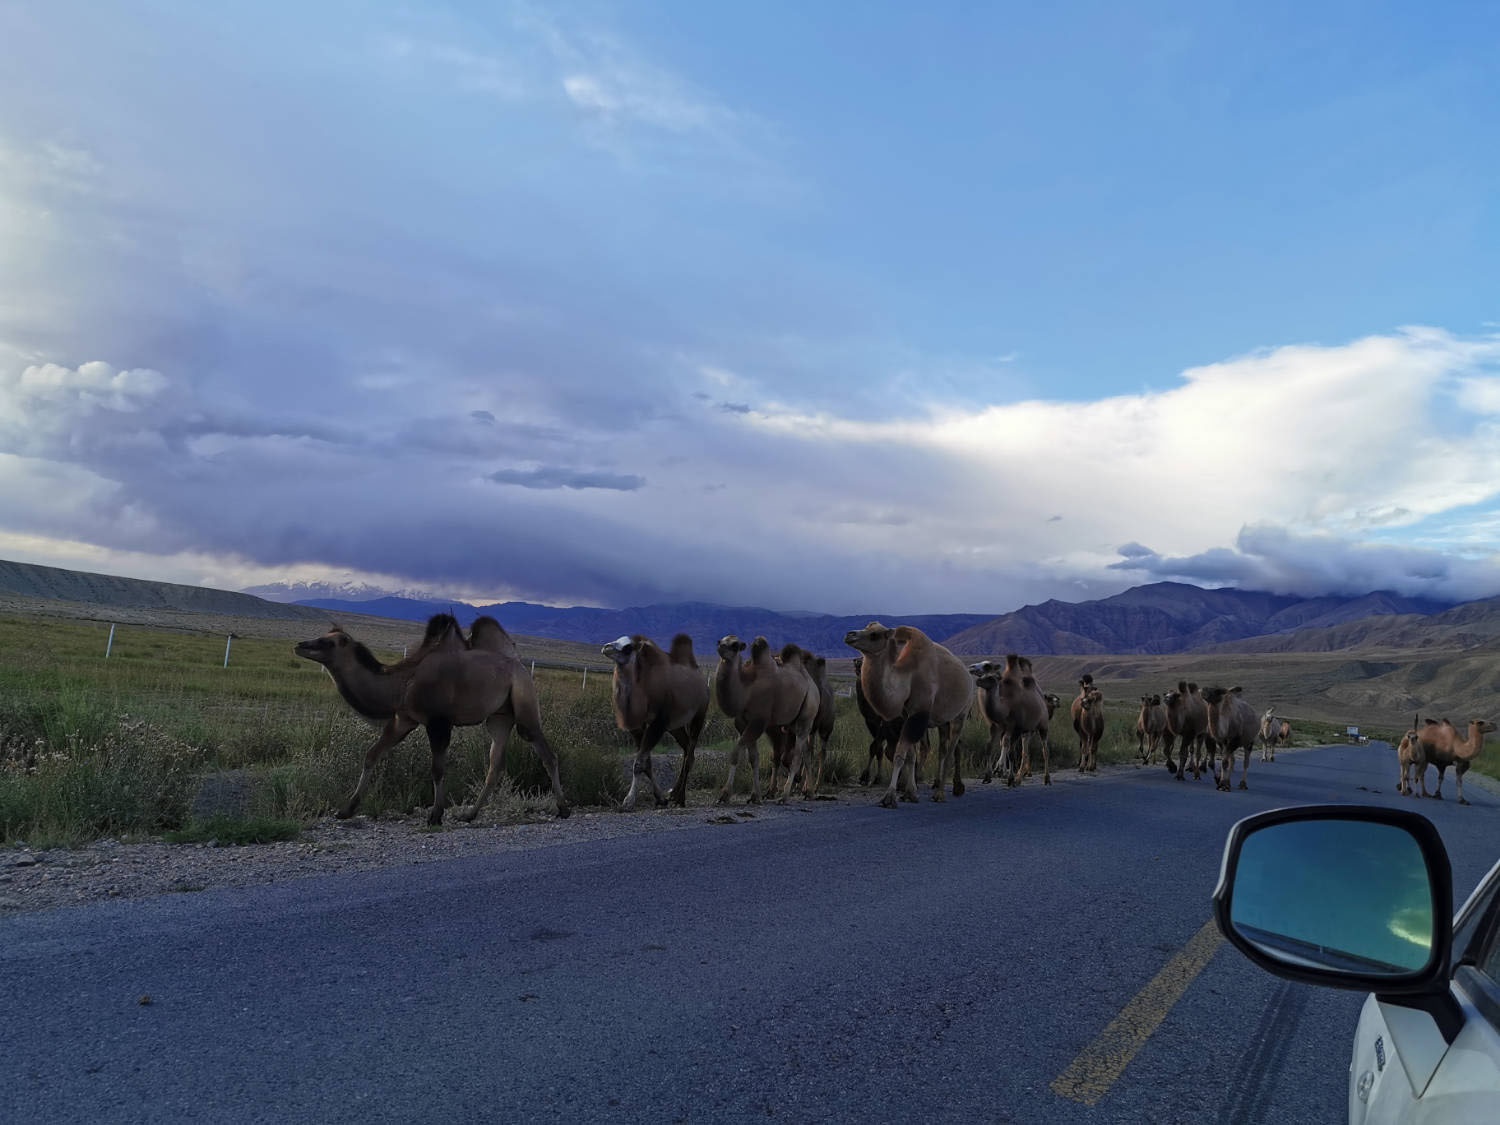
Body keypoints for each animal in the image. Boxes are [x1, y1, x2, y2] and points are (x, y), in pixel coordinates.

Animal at [292, 618, 567, 828]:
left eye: (327, 642)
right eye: (323, 635)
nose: (299, 645)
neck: (402, 683)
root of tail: (520, 666)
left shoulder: (438, 722)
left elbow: (437, 769)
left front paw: (435, 815)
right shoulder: (403, 719)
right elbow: (372, 755)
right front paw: (345, 810)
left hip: (524, 705)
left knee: (545, 753)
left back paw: (563, 808)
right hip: (499, 717)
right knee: (495, 764)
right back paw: (470, 814)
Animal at [600, 636, 711, 810]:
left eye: (628, 647)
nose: (607, 647)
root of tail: (704, 686)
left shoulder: (658, 724)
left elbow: (639, 763)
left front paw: (628, 801)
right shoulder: (638, 727)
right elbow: (647, 763)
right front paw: (660, 798)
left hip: (698, 717)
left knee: (690, 755)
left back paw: (680, 799)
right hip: (676, 727)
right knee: (688, 750)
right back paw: (673, 793)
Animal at [717, 639, 822, 804]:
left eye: (734, 645)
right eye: (720, 641)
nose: (720, 648)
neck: (746, 689)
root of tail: (812, 685)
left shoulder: (758, 722)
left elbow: (735, 753)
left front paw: (725, 794)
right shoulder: (742, 723)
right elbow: (753, 758)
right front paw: (755, 795)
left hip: (807, 715)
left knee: (797, 755)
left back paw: (784, 796)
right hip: (793, 721)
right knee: (806, 753)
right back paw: (809, 793)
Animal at [846, 627, 972, 810]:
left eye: (874, 635)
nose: (850, 635)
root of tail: (968, 675)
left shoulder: (911, 716)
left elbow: (898, 754)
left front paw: (889, 796)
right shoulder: (903, 716)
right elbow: (908, 755)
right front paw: (909, 793)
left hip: (960, 715)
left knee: (951, 750)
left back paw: (943, 792)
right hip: (943, 720)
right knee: (943, 748)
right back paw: (941, 785)